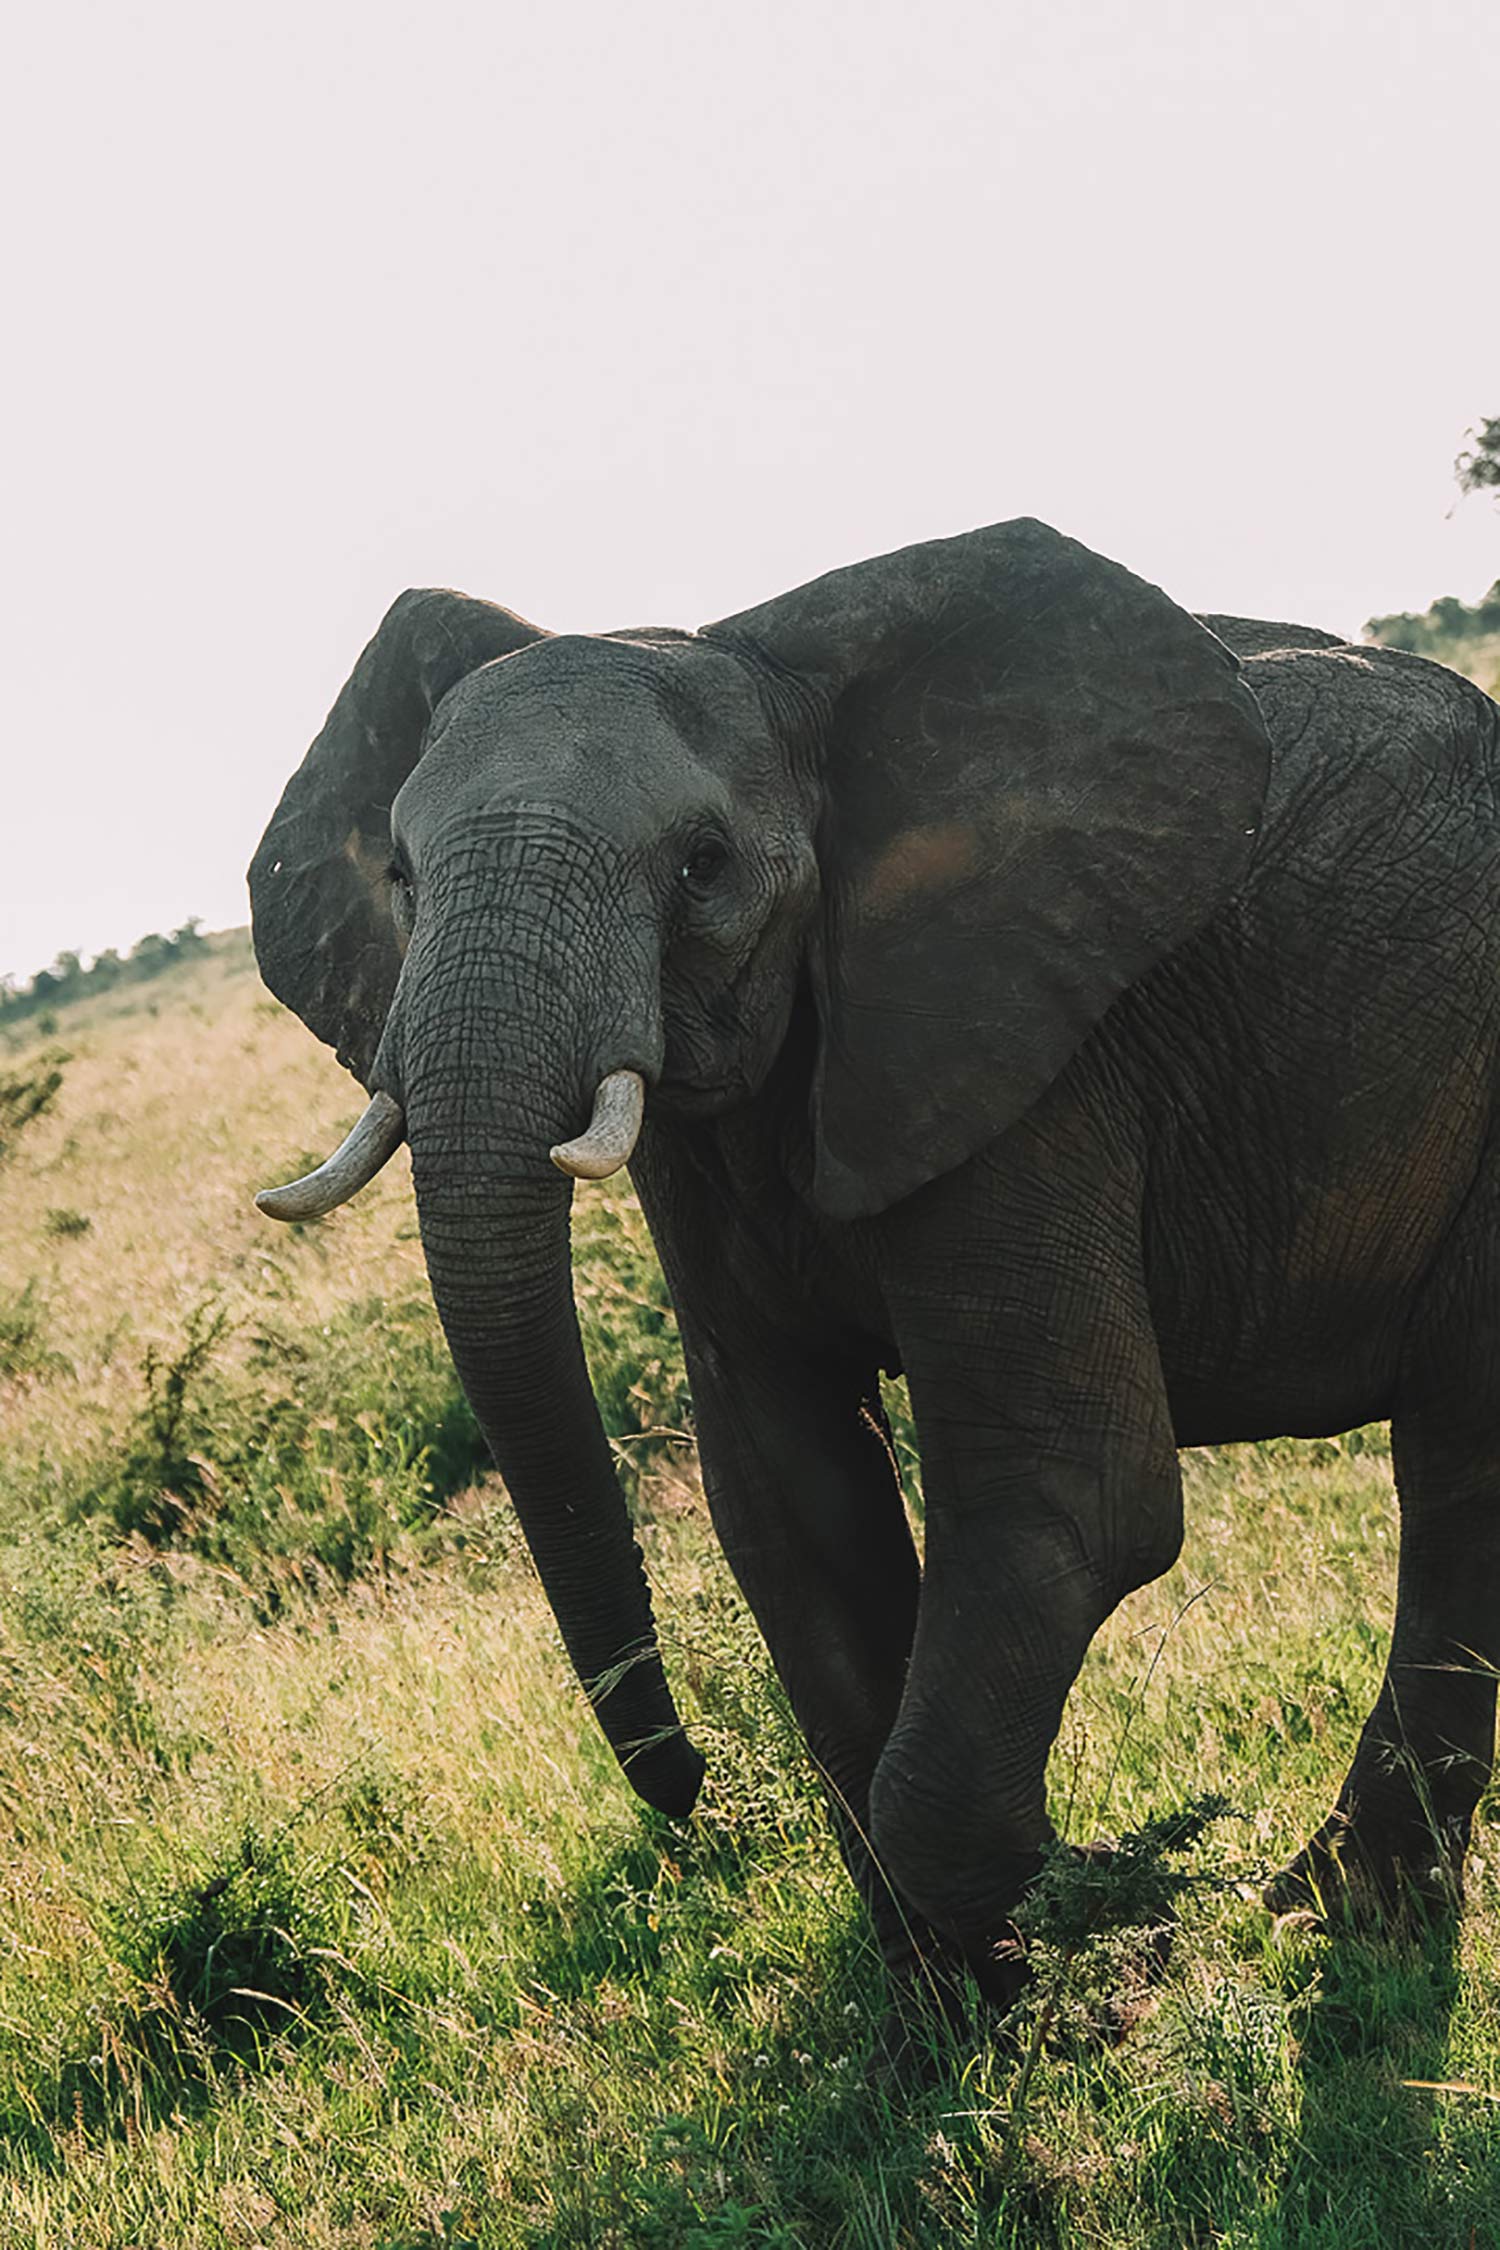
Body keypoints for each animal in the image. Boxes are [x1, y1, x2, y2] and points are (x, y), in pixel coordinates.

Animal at [249, 517, 1500, 2016]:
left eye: (702, 866)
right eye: (401, 877)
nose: (689, 1787)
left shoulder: (1034, 1049)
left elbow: (1070, 1489)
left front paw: (1087, 1926)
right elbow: (789, 1494)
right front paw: (948, 2003)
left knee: (1462, 1463)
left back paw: (1337, 1917)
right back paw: (1333, 1906)